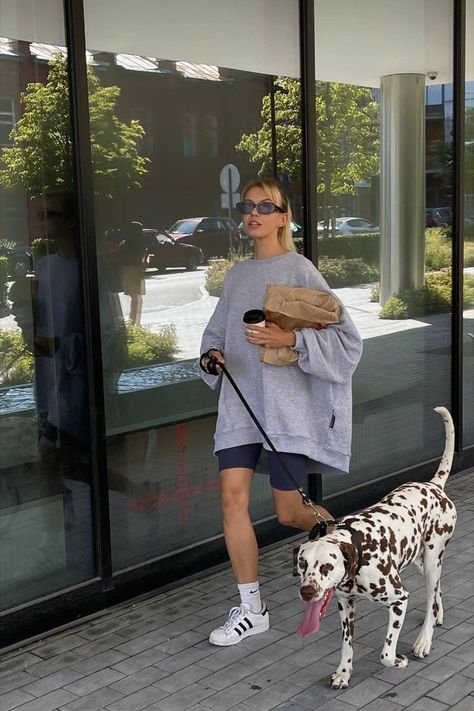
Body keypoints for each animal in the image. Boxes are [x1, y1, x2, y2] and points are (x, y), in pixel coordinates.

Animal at [294, 408, 458, 688]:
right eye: (302, 564)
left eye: (327, 566)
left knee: (429, 596)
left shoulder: (399, 599)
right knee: (435, 590)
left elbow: (386, 654)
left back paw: (424, 639)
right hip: (420, 561)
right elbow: (347, 645)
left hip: (432, 558)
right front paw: (343, 672)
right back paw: (437, 615)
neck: (359, 550)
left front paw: (399, 660)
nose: (307, 591)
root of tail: (434, 485)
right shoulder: (345, 604)